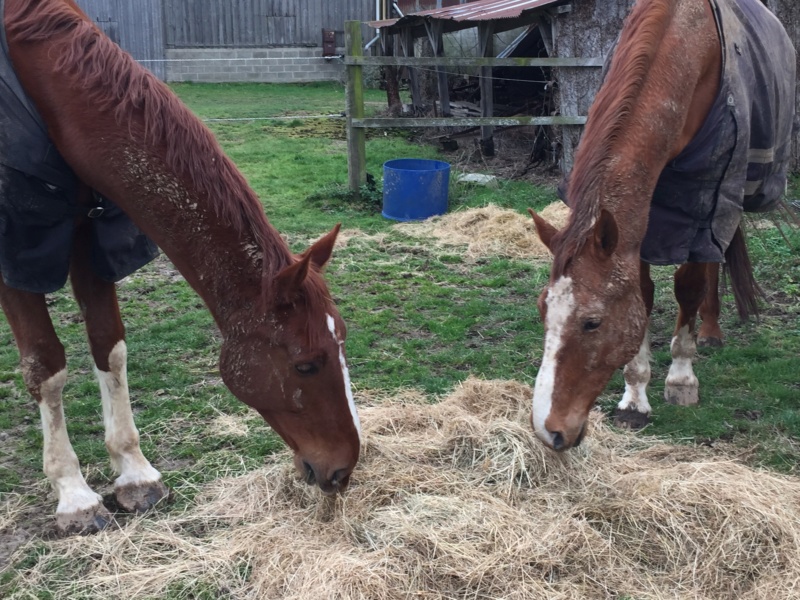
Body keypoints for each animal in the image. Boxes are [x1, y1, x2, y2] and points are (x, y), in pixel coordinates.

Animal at [0, 0, 360, 536]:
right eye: (306, 364)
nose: (344, 469)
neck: (43, 84)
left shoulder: (92, 233)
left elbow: (109, 345)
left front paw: (134, 473)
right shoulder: (19, 248)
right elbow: (46, 366)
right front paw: (74, 495)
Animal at [528, 0, 796, 450]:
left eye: (592, 322)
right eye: (542, 308)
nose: (550, 432)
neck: (686, 50)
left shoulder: (701, 200)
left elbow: (689, 286)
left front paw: (681, 378)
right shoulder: (636, 226)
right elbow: (644, 294)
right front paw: (634, 397)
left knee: (712, 258)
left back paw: (710, 330)